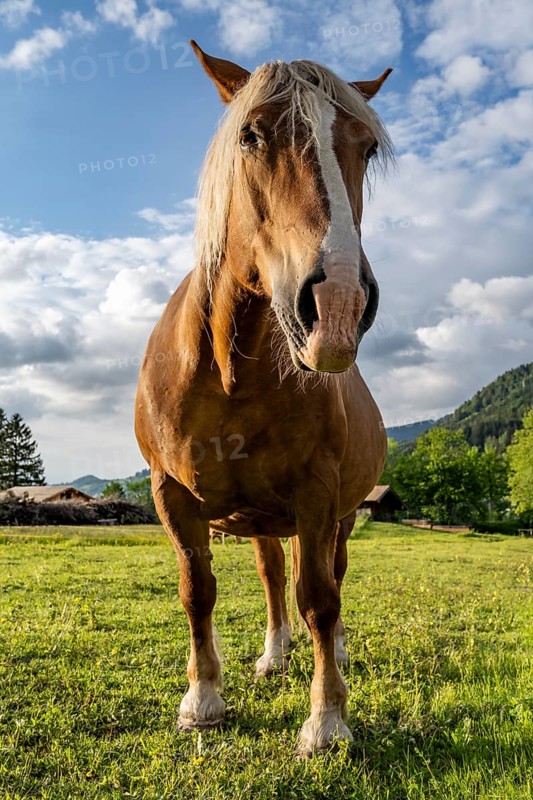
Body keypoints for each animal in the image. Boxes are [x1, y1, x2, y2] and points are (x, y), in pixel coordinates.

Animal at [135, 40, 392, 756]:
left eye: (366, 148)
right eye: (251, 135)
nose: (337, 305)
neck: (229, 375)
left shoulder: (318, 493)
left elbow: (321, 598)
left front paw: (327, 721)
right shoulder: (172, 494)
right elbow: (198, 591)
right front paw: (202, 701)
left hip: (335, 515)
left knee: (325, 577)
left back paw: (331, 652)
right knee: (275, 577)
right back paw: (275, 655)